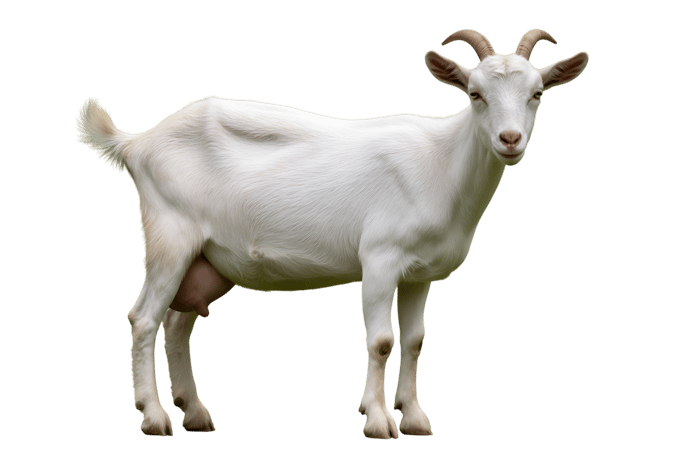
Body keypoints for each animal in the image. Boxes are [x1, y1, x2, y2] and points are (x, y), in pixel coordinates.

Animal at [75, 28, 589, 439]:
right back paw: (153, 416)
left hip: (207, 259)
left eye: (537, 92)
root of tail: (137, 143)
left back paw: (195, 413)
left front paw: (415, 419)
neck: (441, 164)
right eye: (474, 93)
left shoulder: (419, 273)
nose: (509, 140)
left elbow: (416, 341)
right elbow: (381, 341)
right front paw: (379, 421)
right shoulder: (380, 258)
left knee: (178, 325)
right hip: (171, 237)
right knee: (144, 318)